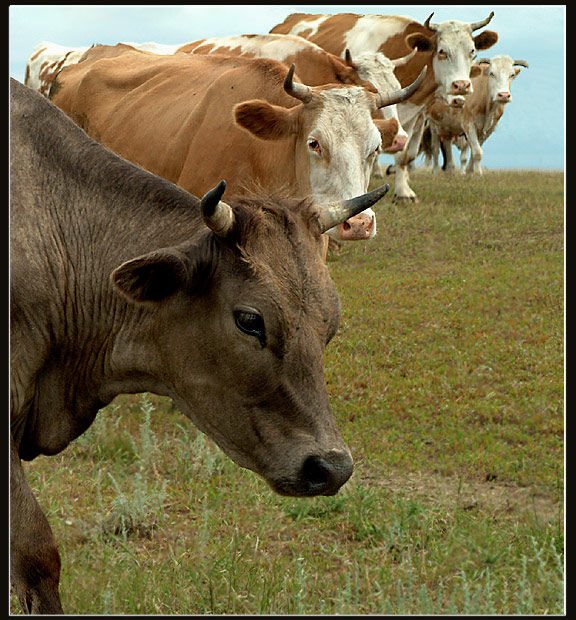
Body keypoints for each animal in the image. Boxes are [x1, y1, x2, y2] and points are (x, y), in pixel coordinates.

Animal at [272, 10, 500, 201]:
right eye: (442, 51)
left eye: (472, 51)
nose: (461, 85)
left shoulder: (416, 117)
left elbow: (405, 155)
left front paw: (404, 191)